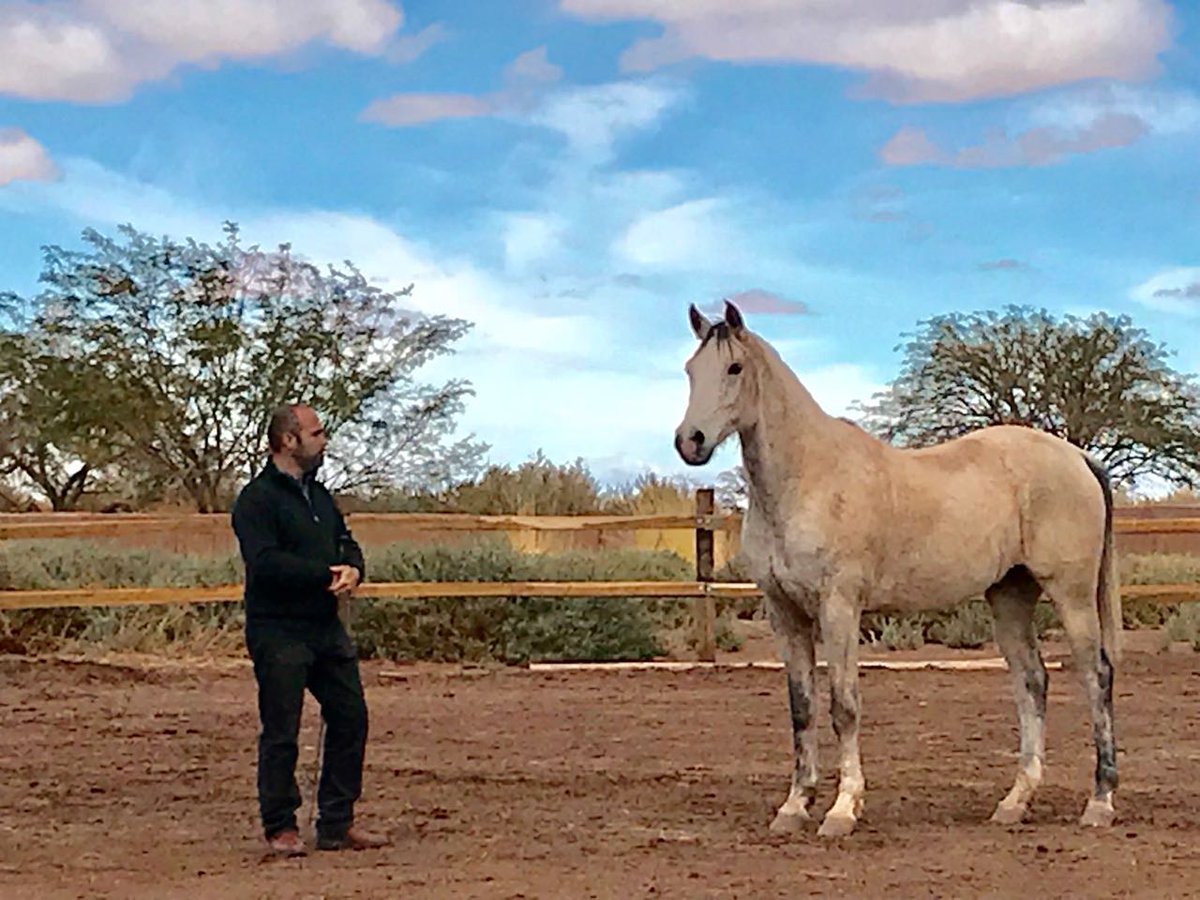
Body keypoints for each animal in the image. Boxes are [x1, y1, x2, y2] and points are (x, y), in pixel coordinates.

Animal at [674, 300, 1120, 838]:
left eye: (734, 368)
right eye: (691, 369)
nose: (690, 441)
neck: (806, 477)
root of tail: (1077, 456)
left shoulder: (839, 608)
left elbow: (844, 705)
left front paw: (843, 810)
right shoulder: (784, 612)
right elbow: (802, 708)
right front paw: (795, 806)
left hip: (1071, 594)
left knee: (1097, 677)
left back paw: (1100, 802)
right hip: (1010, 595)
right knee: (1032, 683)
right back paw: (1015, 803)